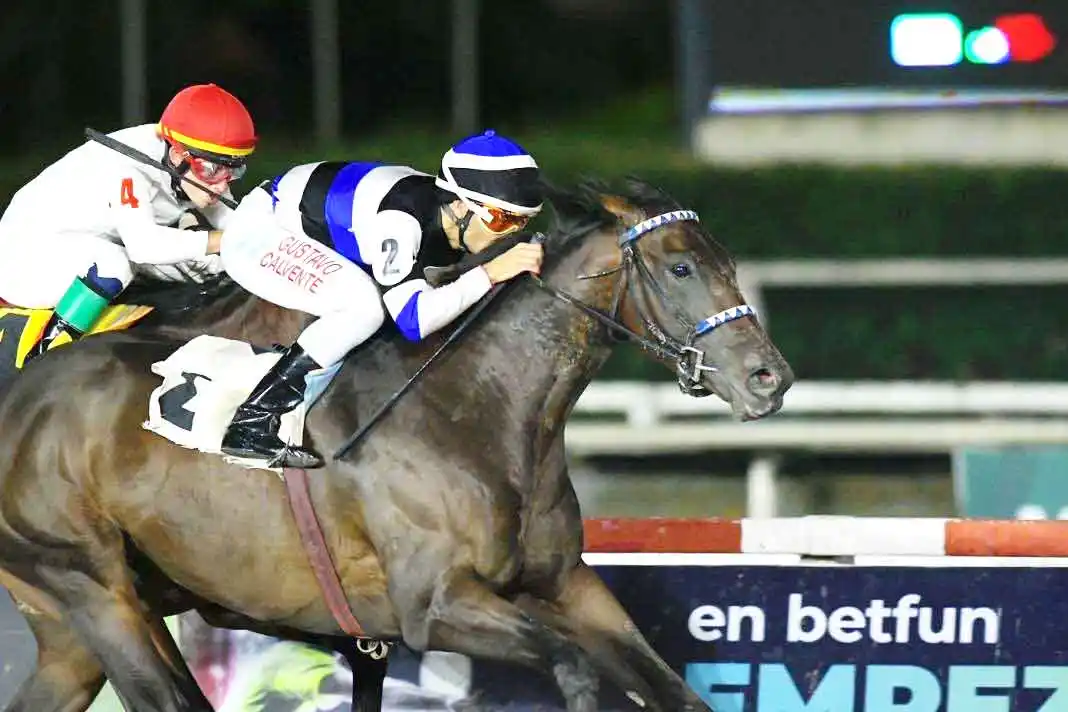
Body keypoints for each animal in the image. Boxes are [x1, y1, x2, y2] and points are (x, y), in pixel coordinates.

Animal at [0, 178, 793, 712]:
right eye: (681, 267)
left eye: (727, 261)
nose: (770, 378)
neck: (481, 409)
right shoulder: (433, 605)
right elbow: (571, 668)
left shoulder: (568, 585)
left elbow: (676, 693)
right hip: (92, 585)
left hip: (75, 623)